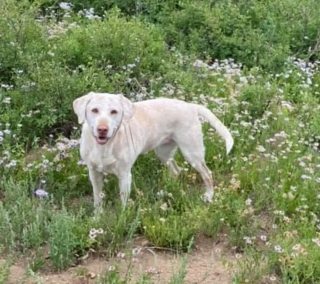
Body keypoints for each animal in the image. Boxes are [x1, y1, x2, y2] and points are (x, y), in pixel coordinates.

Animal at [73, 92, 232, 207]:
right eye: (94, 110)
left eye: (114, 112)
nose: (102, 129)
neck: (104, 147)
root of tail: (191, 106)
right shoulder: (94, 173)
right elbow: (97, 199)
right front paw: (97, 218)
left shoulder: (125, 175)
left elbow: (123, 204)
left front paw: (122, 219)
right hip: (163, 153)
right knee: (176, 171)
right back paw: (166, 192)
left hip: (192, 153)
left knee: (207, 174)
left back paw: (209, 196)